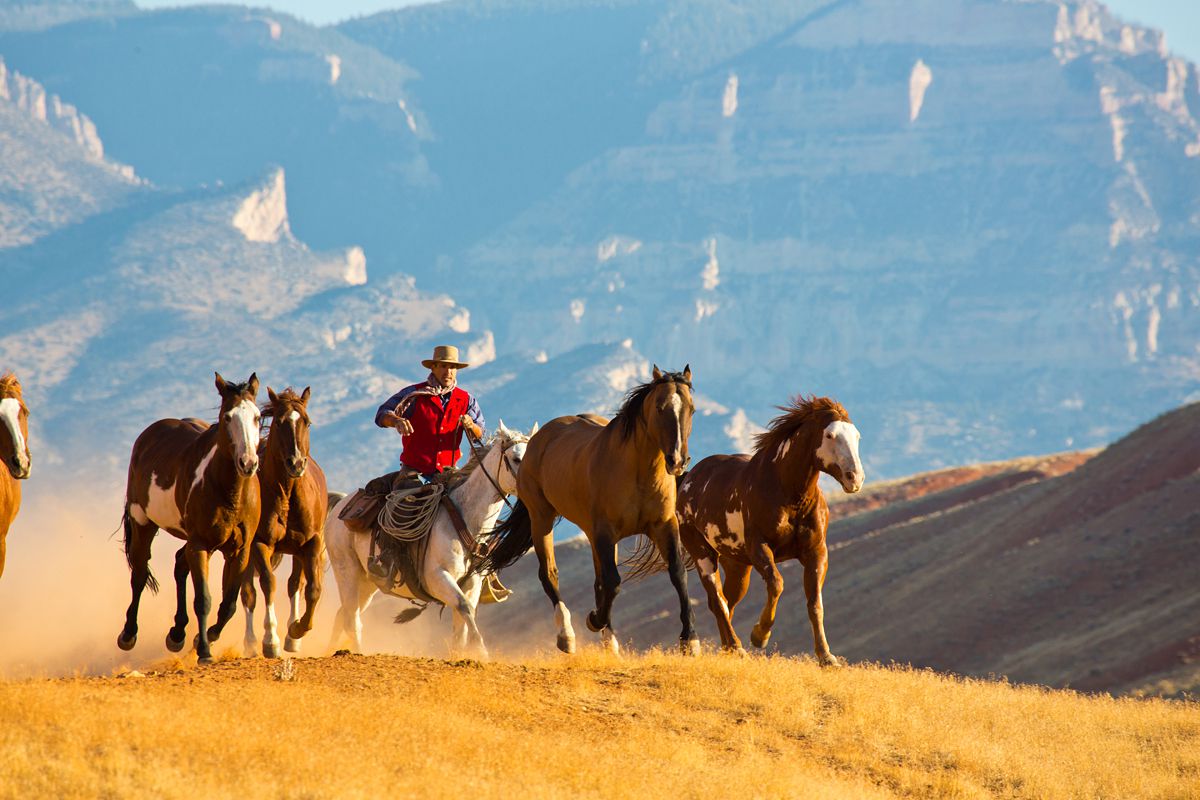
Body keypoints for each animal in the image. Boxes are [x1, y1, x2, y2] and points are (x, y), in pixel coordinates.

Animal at [118, 374, 262, 662]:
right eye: (228, 416)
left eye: (257, 416)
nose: (248, 463)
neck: (230, 492)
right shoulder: (200, 545)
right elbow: (203, 599)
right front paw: (204, 651)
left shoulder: (240, 550)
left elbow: (229, 603)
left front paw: (203, 638)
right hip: (143, 522)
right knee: (139, 573)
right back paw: (128, 634)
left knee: (178, 564)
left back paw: (177, 634)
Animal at [237, 386, 328, 657]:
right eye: (279, 422)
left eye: (307, 421)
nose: (296, 463)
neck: (287, 495)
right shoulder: (259, 544)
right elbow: (268, 584)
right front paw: (271, 640)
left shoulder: (311, 543)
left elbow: (312, 589)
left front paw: (297, 630)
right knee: (248, 592)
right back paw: (251, 642)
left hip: (297, 552)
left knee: (294, 584)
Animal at [328, 422, 535, 662]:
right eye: (516, 458)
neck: (464, 519)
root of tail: (340, 506)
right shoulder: (438, 578)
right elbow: (464, 608)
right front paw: (482, 653)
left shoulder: (471, 584)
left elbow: (462, 625)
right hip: (347, 573)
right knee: (352, 620)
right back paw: (358, 653)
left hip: (367, 583)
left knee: (342, 615)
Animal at [482, 369, 700, 657]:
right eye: (659, 407)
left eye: (692, 409)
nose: (678, 460)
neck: (637, 473)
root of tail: (539, 439)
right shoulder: (605, 532)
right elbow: (613, 582)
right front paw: (594, 620)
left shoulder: (663, 525)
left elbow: (677, 573)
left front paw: (690, 639)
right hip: (542, 518)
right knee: (549, 573)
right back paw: (567, 635)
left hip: (589, 531)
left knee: (598, 582)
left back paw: (610, 641)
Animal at [676, 393, 864, 662]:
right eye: (829, 435)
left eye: (857, 436)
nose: (855, 478)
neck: (789, 495)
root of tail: (688, 479)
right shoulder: (760, 548)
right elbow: (777, 584)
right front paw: (759, 635)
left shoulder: (816, 552)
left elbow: (815, 603)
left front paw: (826, 657)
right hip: (703, 554)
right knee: (718, 599)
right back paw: (736, 647)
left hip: (737, 566)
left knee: (725, 601)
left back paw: (728, 648)